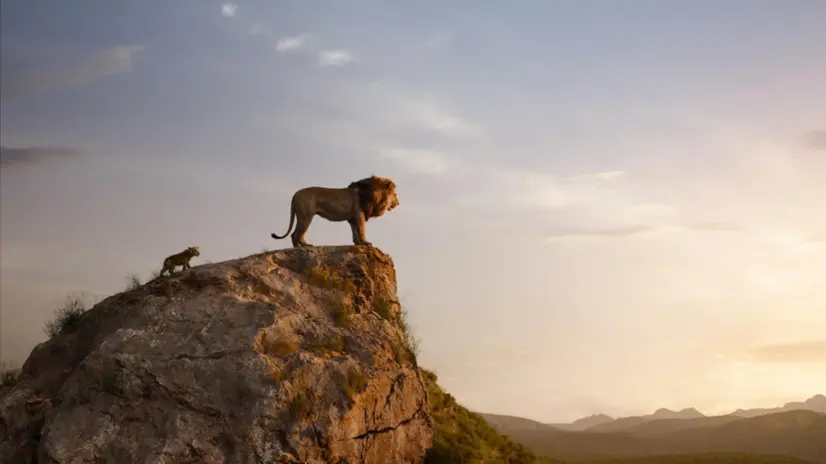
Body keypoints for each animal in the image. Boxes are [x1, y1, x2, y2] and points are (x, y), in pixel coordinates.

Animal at [270, 175, 400, 248]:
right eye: (395, 195)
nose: (398, 203)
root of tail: (295, 195)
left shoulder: (352, 218)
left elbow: (355, 232)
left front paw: (358, 243)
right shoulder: (360, 214)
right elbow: (361, 230)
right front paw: (366, 243)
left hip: (301, 216)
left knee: (293, 234)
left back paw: (297, 248)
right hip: (307, 216)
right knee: (298, 234)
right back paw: (306, 246)